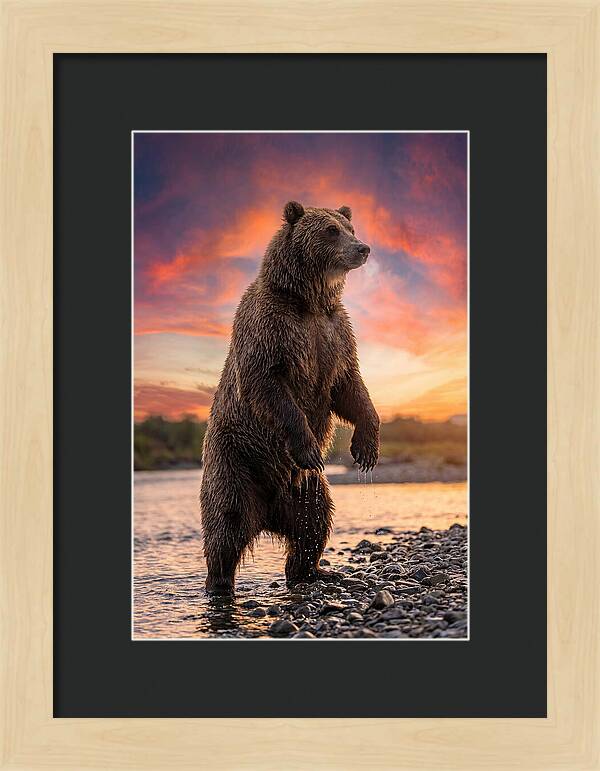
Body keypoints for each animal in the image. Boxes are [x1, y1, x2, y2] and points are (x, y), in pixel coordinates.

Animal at [200, 201, 380, 594]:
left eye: (350, 227)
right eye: (331, 230)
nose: (363, 248)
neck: (308, 301)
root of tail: (268, 513)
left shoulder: (335, 334)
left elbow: (350, 387)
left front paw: (366, 448)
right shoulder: (272, 328)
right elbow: (269, 385)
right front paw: (310, 447)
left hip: (305, 489)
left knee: (314, 521)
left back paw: (314, 570)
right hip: (236, 461)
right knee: (226, 524)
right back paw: (219, 584)